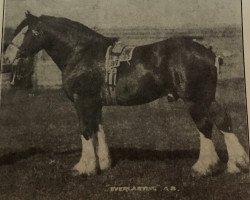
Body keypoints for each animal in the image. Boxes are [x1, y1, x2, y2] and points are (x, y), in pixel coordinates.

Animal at [3, 12, 248, 177]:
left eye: (27, 32)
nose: (6, 59)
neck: (82, 53)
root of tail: (208, 52)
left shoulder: (82, 101)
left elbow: (85, 130)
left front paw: (84, 167)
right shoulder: (95, 103)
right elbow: (98, 130)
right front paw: (103, 163)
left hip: (194, 99)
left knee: (205, 126)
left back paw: (203, 167)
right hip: (208, 97)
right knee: (223, 121)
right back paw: (236, 164)